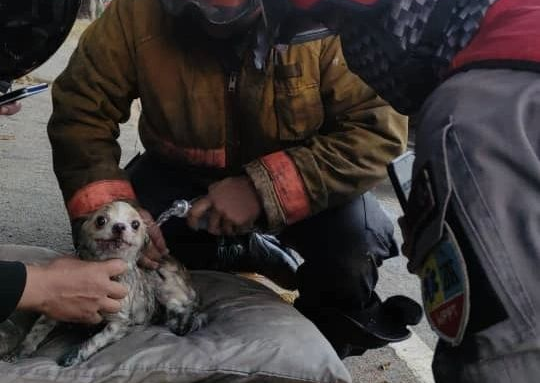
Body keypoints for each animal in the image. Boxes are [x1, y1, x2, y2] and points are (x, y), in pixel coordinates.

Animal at [18, 201, 205, 366]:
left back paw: (182, 323)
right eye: (101, 220)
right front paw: (21, 351)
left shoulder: (118, 323)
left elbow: (96, 339)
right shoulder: (58, 307)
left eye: (135, 224)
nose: (119, 226)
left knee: (184, 308)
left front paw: (75, 356)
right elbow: (37, 330)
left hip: (167, 290)